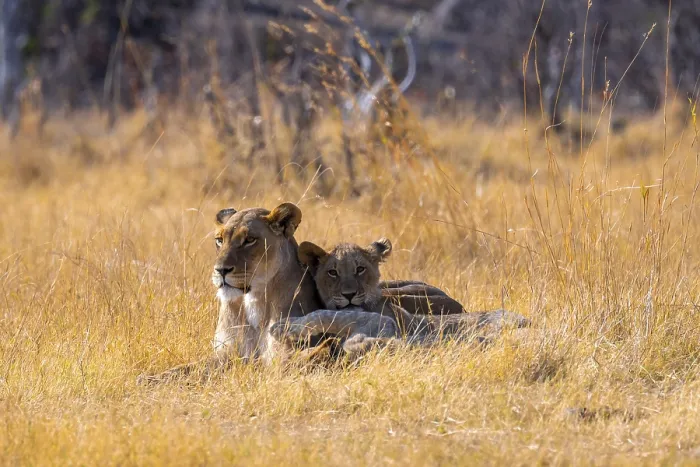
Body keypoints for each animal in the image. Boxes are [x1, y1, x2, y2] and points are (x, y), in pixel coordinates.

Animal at [269, 238, 530, 358]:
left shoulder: (383, 321)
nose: (349, 295)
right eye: (332, 272)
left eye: (360, 269)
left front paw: (283, 327)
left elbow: (324, 315)